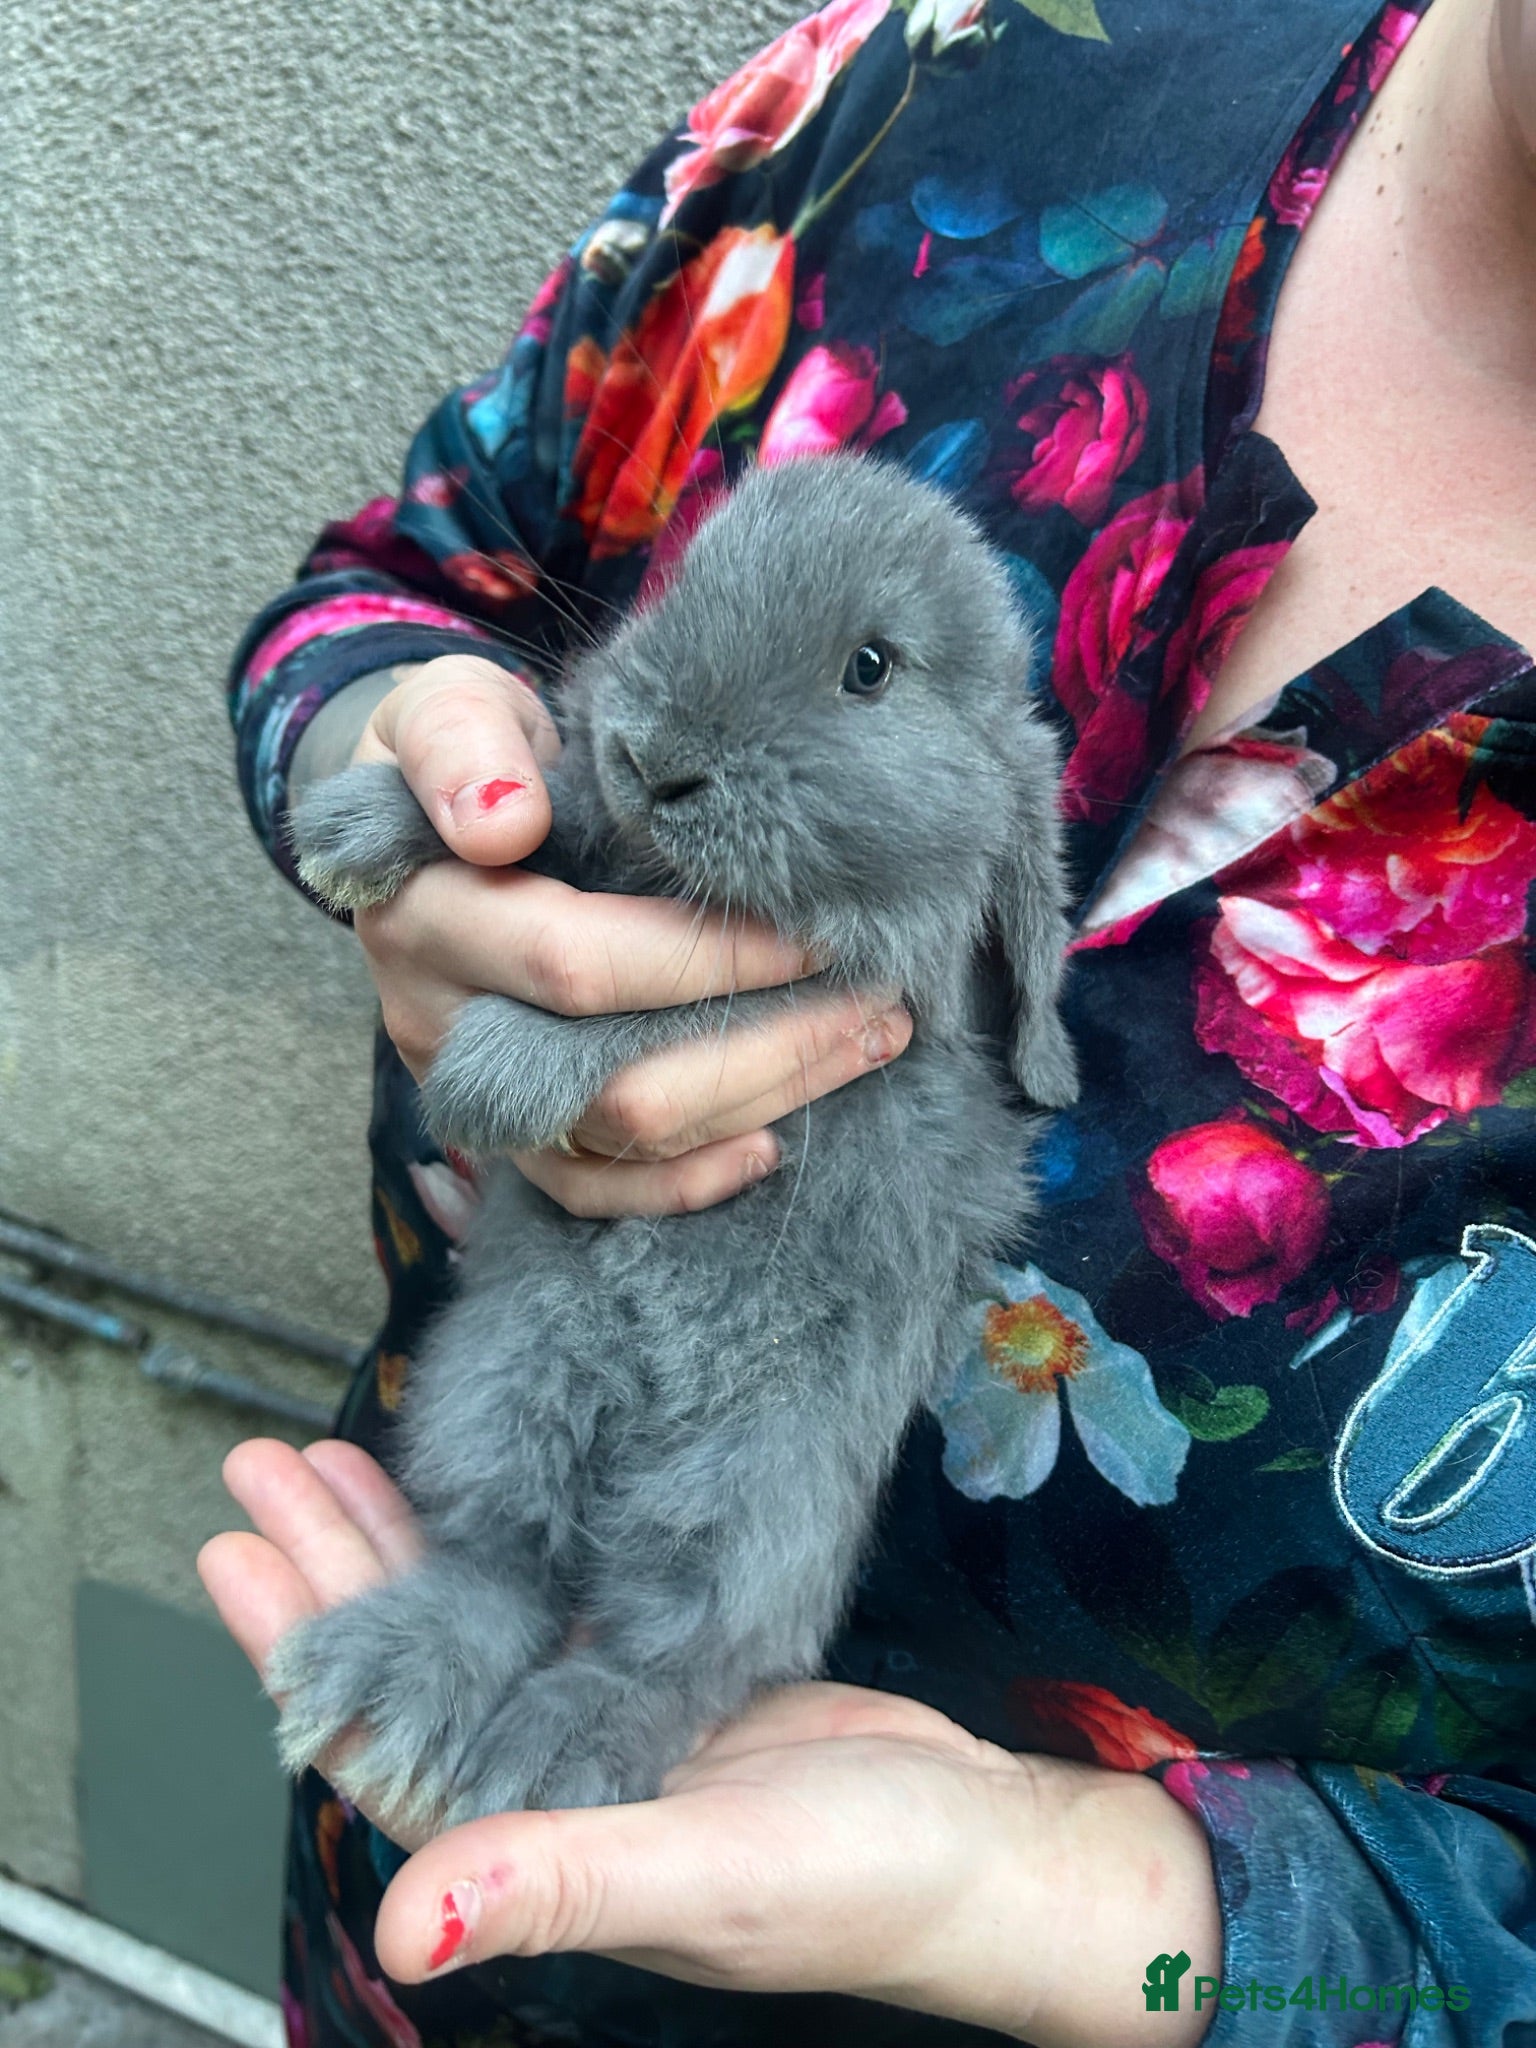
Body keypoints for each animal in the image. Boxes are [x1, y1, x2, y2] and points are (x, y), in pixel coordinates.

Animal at [269, 451, 1078, 1829]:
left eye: (871, 666)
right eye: (690, 572)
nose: (653, 753)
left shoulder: (817, 996)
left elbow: (664, 1009)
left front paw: (491, 1077)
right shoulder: (596, 828)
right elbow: (545, 808)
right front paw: (356, 828)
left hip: (752, 1496)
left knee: (678, 1651)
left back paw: (544, 1754)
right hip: (505, 1379)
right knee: (503, 1561)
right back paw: (392, 1690)